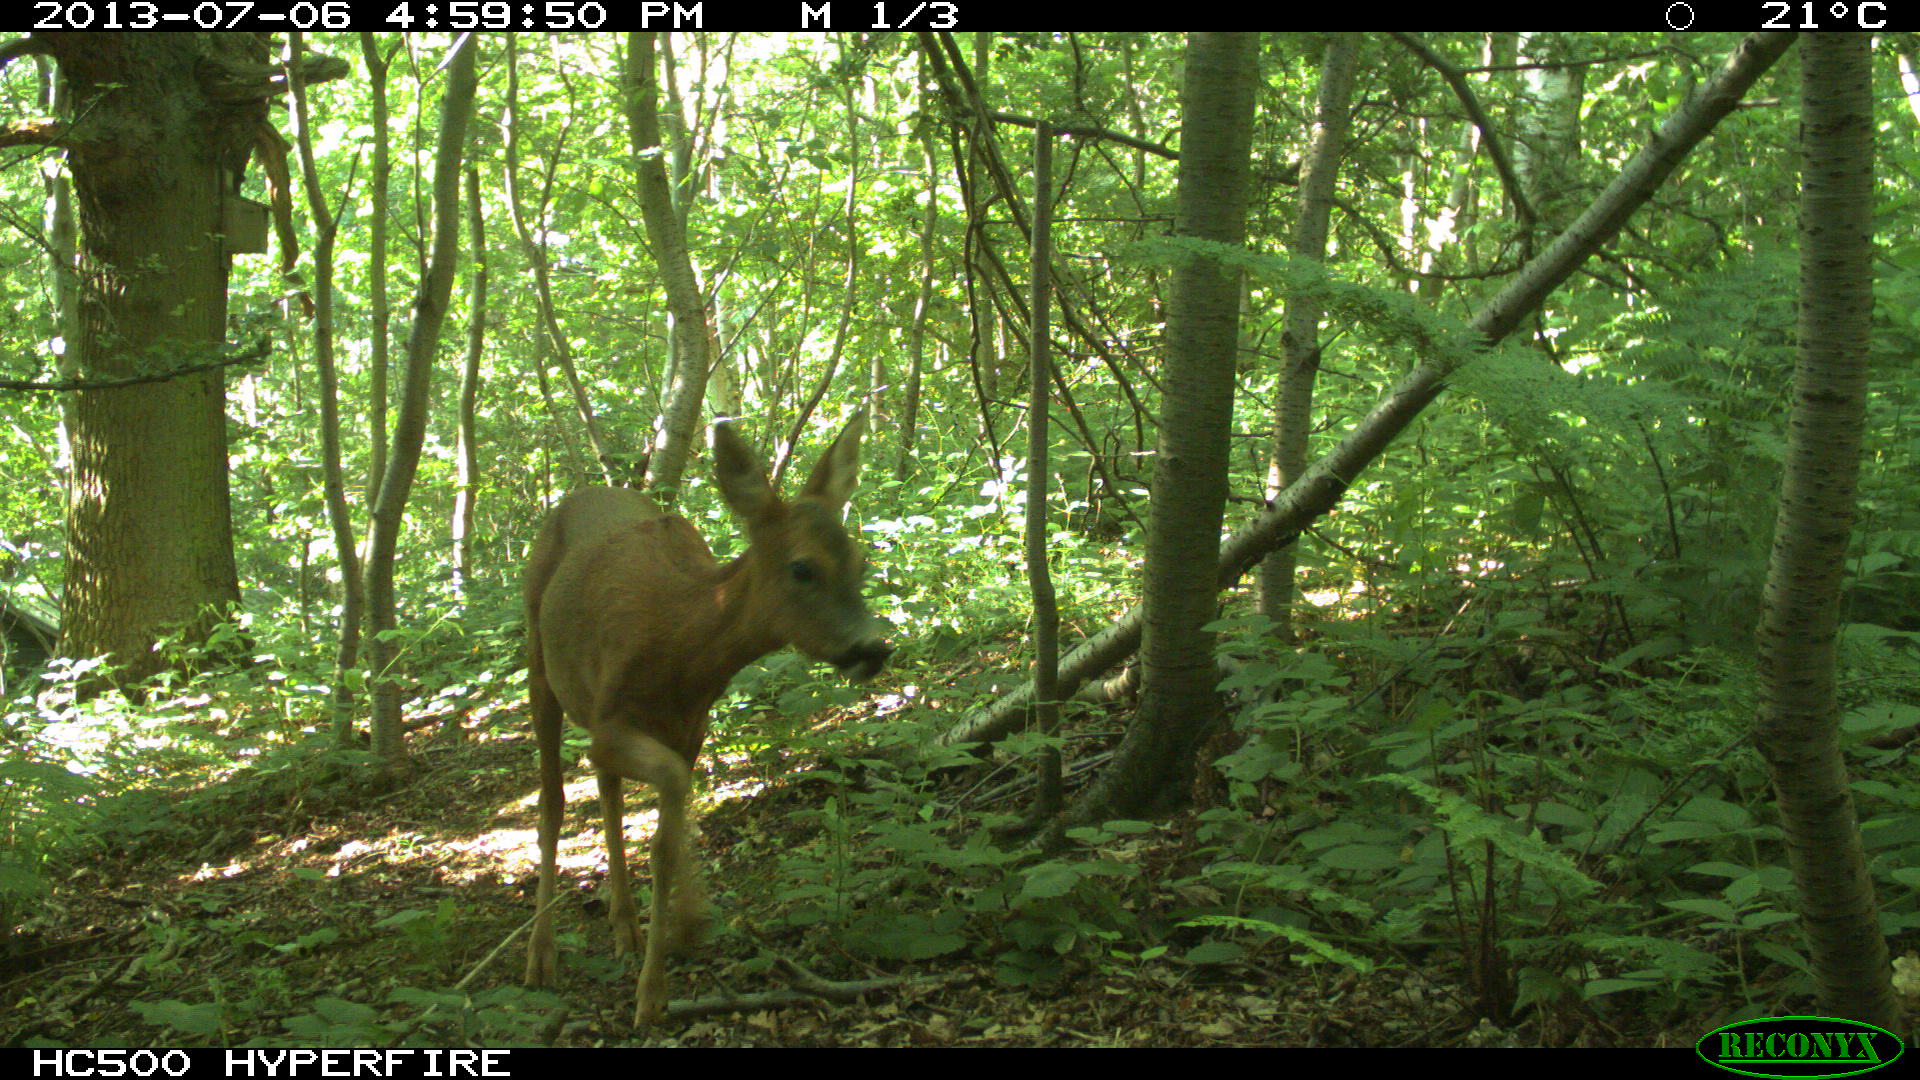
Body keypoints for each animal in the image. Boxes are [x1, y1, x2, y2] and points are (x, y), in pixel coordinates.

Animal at [518, 409, 890, 1014]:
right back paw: (541, 956)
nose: (874, 648)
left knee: (606, 792)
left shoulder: (690, 727)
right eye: (802, 569)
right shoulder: (612, 722)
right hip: (538, 659)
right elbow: (664, 807)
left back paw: (625, 927)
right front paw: (653, 991)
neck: (680, 647)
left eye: (860, 562)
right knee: (552, 803)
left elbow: (672, 827)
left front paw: (683, 928)